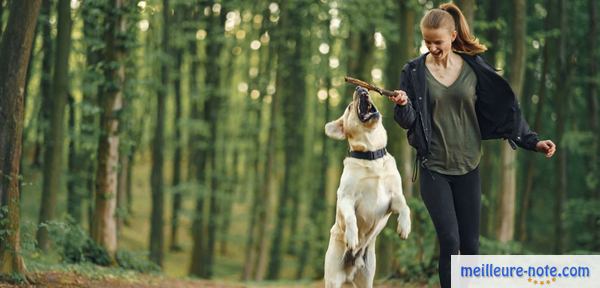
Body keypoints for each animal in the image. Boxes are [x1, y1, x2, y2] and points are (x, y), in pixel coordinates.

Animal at [324, 86, 412, 286]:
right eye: (350, 107)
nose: (360, 87)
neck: (372, 155)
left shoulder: (394, 197)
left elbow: (405, 207)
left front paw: (404, 227)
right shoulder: (346, 198)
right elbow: (350, 218)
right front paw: (352, 236)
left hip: (367, 276)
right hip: (332, 277)